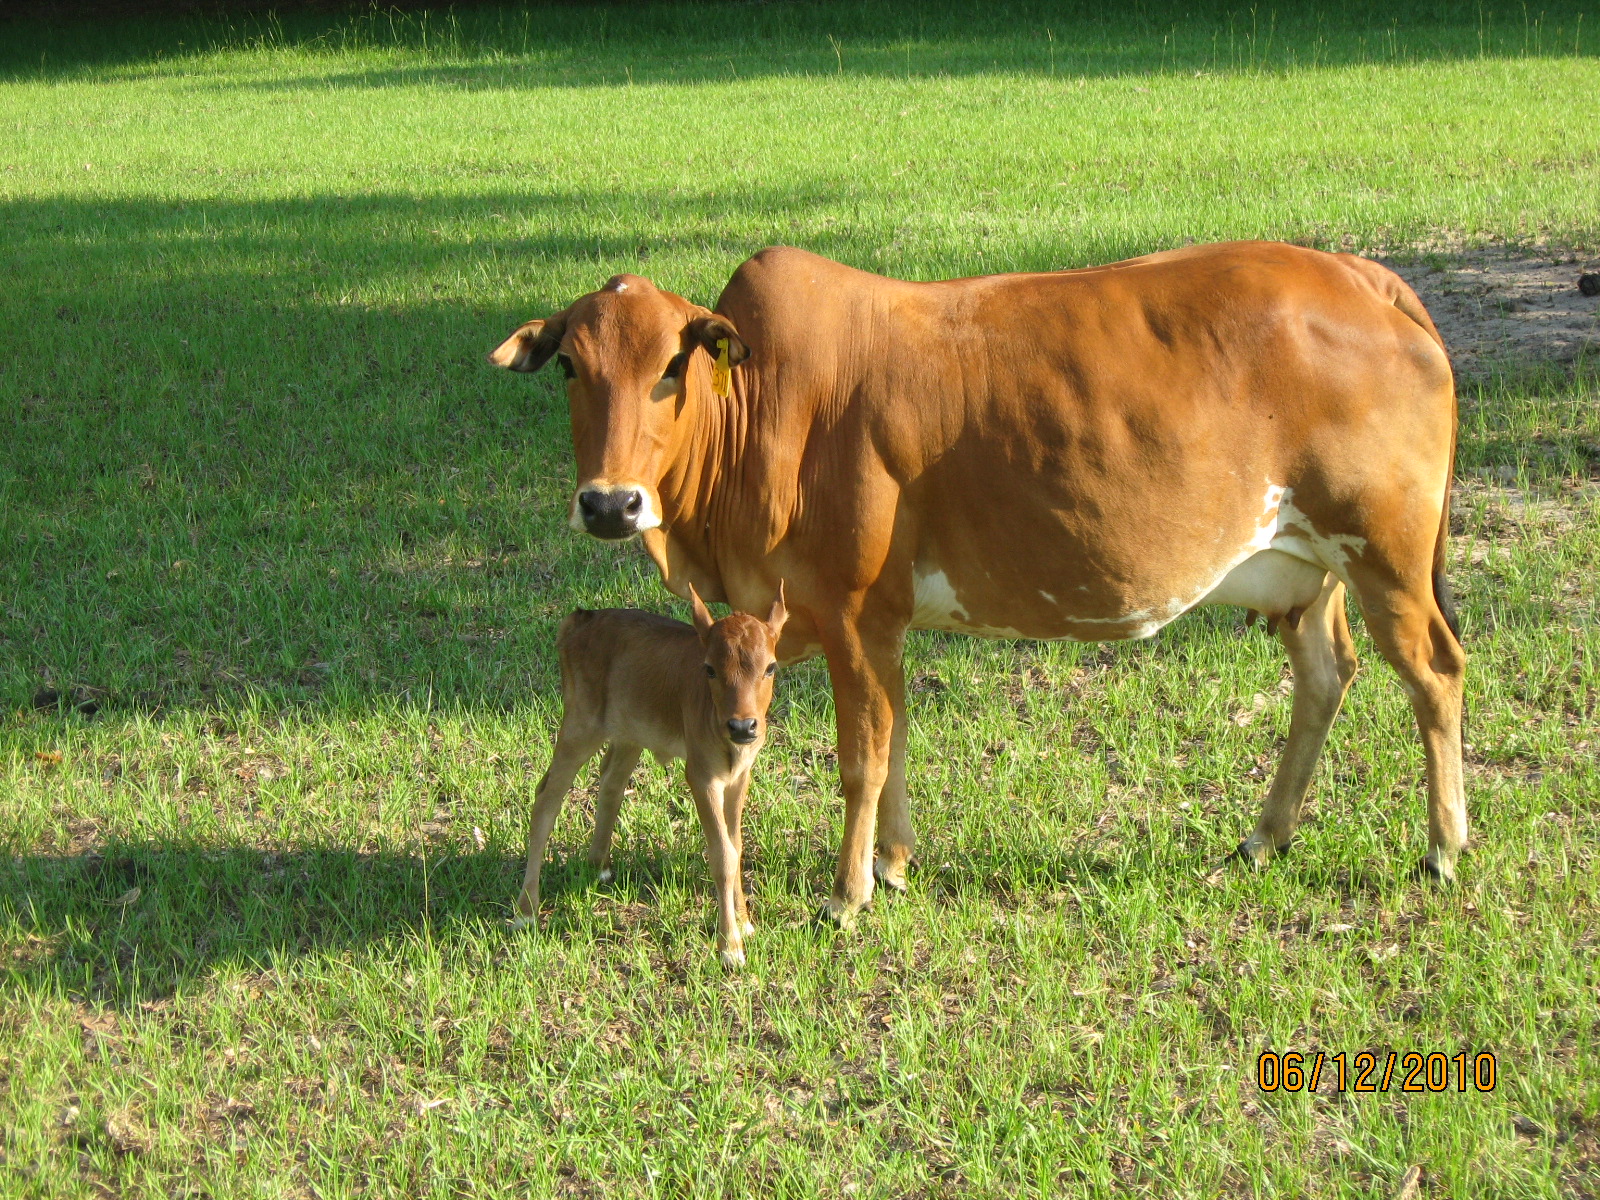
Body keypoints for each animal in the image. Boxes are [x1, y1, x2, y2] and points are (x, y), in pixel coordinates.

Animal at [489, 241, 1466, 926]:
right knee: (1326, 677)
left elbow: (861, 755)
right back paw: (1266, 834)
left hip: (1385, 557)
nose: (610, 503)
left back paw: (1444, 846)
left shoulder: (846, 612)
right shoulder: (878, 623)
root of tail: (1357, 273)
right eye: (571, 365)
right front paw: (892, 862)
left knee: (1435, 675)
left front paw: (846, 893)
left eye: (672, 365)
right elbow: (896, 741)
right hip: (1309, 572)